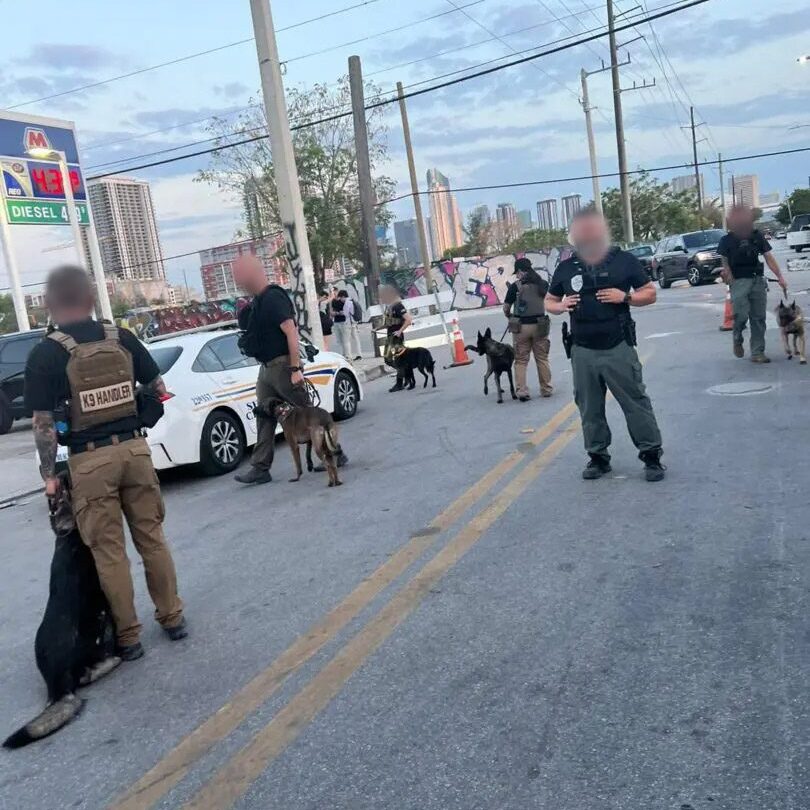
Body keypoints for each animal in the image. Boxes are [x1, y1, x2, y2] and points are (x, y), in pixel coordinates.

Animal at [3, 476, 118, 748]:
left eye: (57, 498)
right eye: (63, 492)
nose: (60, 476)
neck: (70, 535)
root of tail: (57, 688)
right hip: (101, 623)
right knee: (88, 674)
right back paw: (114, 660)